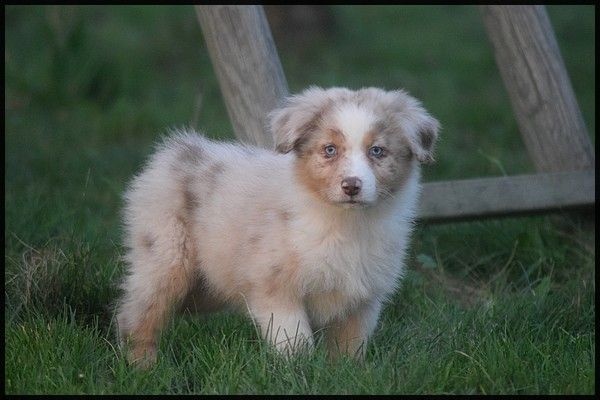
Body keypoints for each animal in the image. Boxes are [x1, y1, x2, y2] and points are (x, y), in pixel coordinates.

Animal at [116, 86, 439, 367]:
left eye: (377, 151)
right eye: (330, 150)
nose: (351, 186)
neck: (345, 224)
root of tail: (171, 152)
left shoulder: (362, 299)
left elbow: (349, 348)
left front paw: (345, 373)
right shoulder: (274, 286)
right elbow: (295, 341)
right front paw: (298, 373)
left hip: (206, 284)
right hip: (167, 258)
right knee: (137, 313)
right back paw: (143, 366)